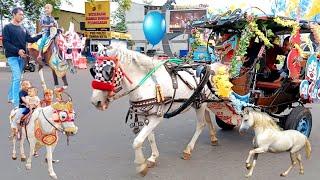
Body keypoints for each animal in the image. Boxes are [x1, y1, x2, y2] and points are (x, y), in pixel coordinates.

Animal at [89, 46, 222, 176]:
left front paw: (141, 165)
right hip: (199, 102)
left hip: (201, 104)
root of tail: (208, 67)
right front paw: (153, 157)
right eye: (93, 71)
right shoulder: (144, 115)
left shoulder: (157, 116)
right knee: (207, 118)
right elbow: (150, 137)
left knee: (201, 124)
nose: (95, 101)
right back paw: (213, 138)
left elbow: (137, 141)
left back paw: (188, 150)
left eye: (108, 71)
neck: (146, 85)